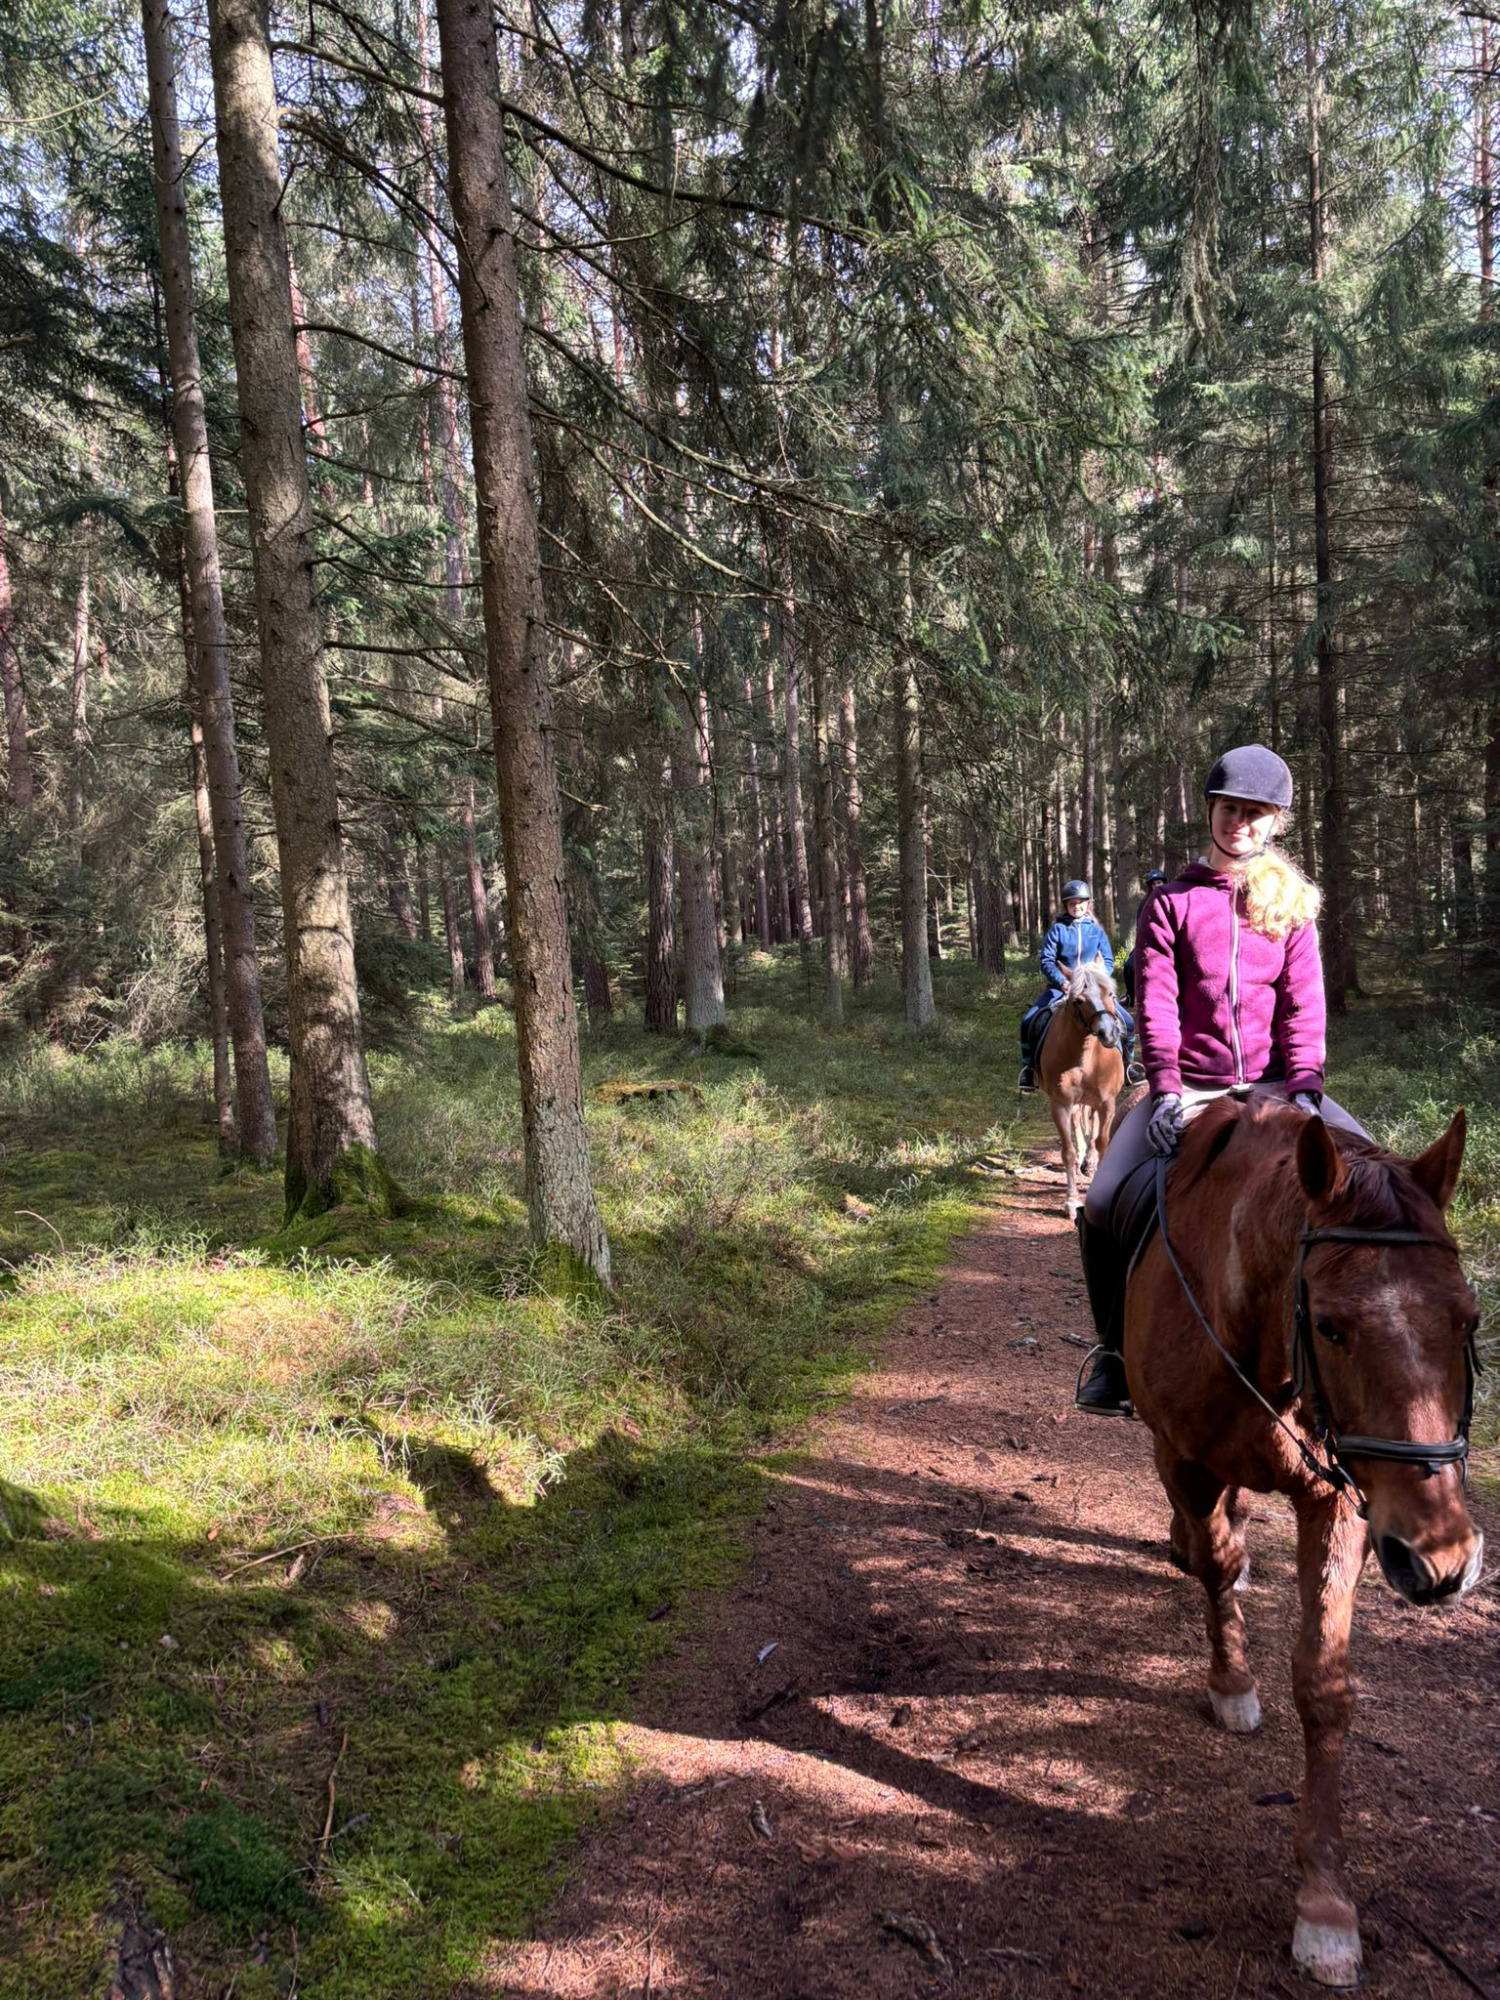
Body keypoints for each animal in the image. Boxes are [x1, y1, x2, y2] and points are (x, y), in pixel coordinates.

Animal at [1037, 958, 1126, 1220]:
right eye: (1078, 1000)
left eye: (1111, 994)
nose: (1109, 1033)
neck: (1085, 1055)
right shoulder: (1060, 1104)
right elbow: (1067, 1151)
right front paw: (1071, 1201)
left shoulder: (1107, 1103)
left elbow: (1103, 1141)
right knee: (1078, 1122)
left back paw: (1091, 1161)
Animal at [1124, 1090, 1483, 1988]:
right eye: (1330, 1325)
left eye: (1470, 1319)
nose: (1443, 1562)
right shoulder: (1184, 1459)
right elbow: (1215, 1564)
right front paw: (1231, 1682)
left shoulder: (1344, 1502)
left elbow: (1324, 1683)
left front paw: (1325, 1905)